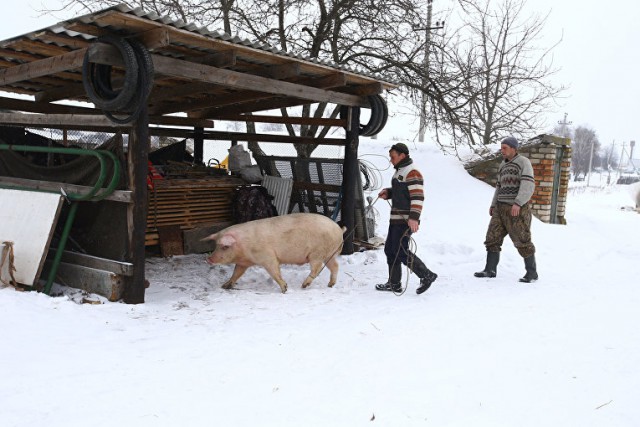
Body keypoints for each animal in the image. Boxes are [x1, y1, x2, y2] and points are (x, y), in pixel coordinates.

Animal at [204, 214, 344, 294]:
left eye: (225, 246)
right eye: (216, 245)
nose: (209, 259)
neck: (244, 247)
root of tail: (339, 229)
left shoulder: (267, 256)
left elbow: (274, 272)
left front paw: (284, 289)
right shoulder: (243, 263)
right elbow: (236, 273)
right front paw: (224, 286)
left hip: (317, 253)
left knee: (317, 268)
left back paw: (304, 285)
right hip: (329, 254)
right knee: (335, 266)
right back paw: (330, 285)